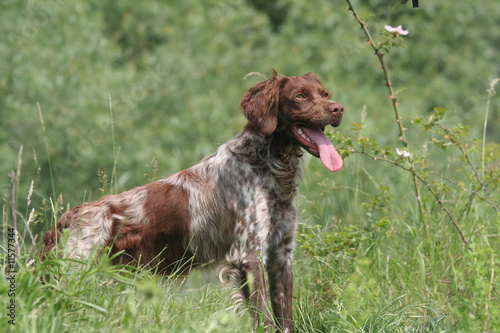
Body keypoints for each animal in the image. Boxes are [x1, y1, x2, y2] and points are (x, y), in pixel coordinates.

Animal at [43, 71, 344, 330]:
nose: (338, 108)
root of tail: (64, 221)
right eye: (300, 96)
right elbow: (264, 318)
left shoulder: (282, 253)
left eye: (325, 93)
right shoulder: (248, 256)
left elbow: (284, 316)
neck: (267, 166)